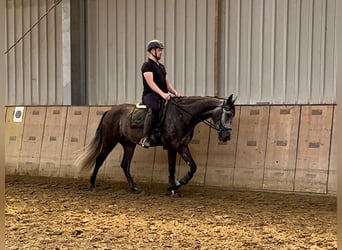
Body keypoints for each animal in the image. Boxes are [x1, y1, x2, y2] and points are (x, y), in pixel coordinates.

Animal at [74, 94, 235, 195]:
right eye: (228, 114)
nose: (226, 136)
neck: (183, 115)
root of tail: (110, 111)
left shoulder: (182, 146)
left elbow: (192, 167)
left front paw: (177, 184)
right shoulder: (173, 146)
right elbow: (172, 167)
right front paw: (173, 187)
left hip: (129, 145)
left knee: (125, 164)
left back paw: (135, 188)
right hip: (109, 142)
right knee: (99, 160)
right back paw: (92, 184)